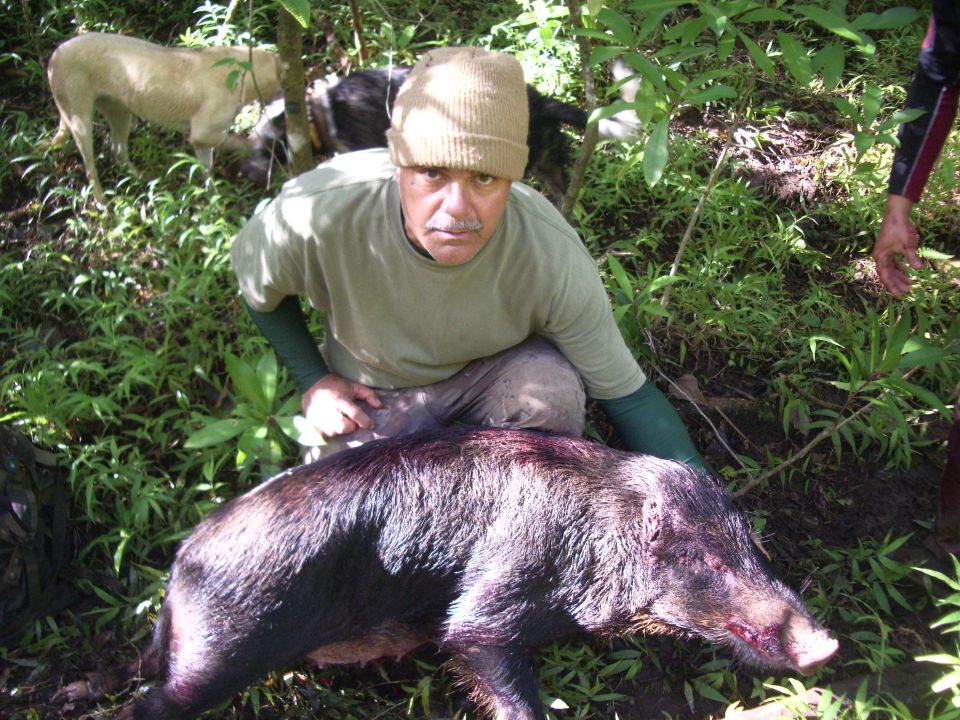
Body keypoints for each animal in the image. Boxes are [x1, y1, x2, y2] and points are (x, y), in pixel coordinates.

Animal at [131, 427, 837, 720]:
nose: (828, 642)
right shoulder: (500, 585)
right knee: (155, 701)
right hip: (223, 641)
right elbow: (472, 640)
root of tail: (180, 563)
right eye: (703, 559)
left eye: (754, 547)